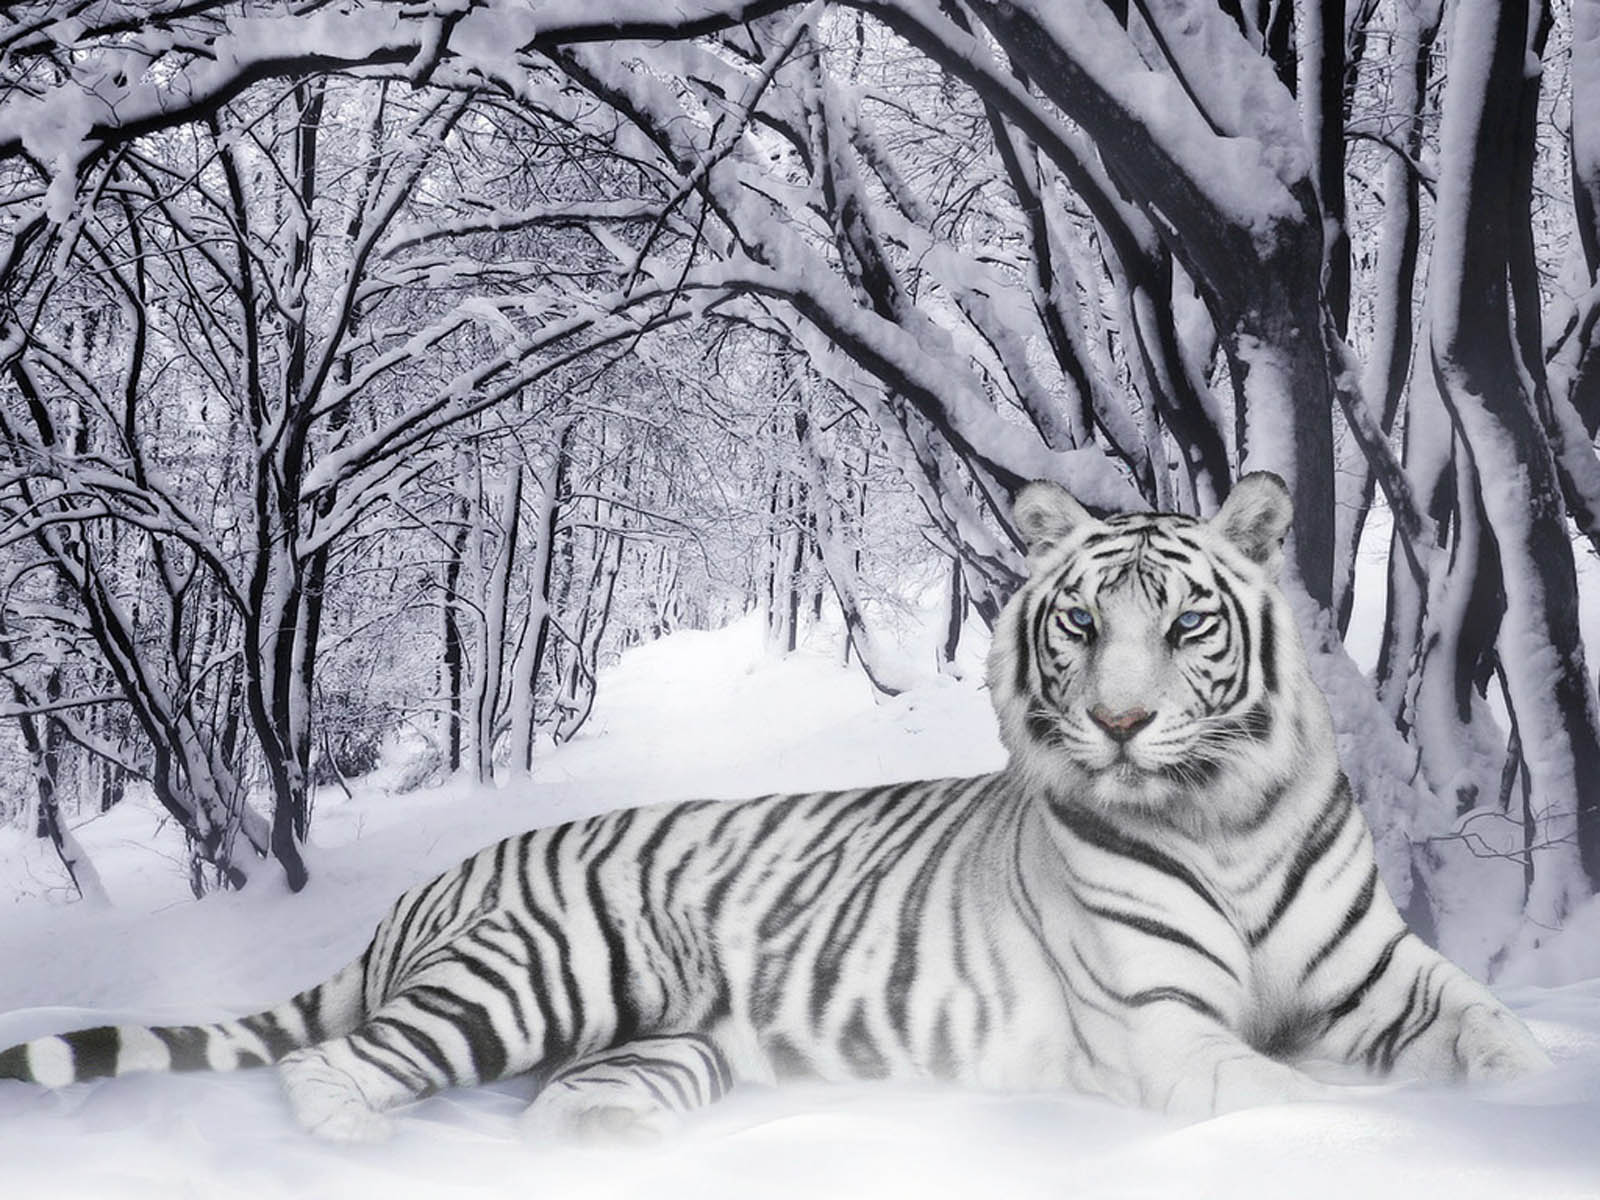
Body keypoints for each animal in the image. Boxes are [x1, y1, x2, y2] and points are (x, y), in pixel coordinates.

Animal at [0, 472, 1552, 1142]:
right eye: (1080, 627)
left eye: (1183, 627)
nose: (1118, 721)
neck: (1221, 817)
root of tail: (427, 891)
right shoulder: (1165, 1028)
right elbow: (1290, 1092)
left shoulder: (1385, 977)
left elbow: (1493, 1031)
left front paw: (1530, 1092)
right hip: (535, 974)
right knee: (337, 1068)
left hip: (661, 1045)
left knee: (561, 1102)